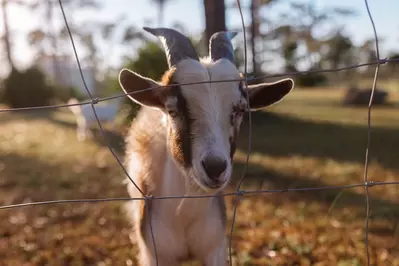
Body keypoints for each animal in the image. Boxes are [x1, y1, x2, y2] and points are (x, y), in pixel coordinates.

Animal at [118, 27, 294, 266]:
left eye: (240, 110)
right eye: (172, 110)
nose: (215, 168)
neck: (183, 215)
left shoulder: (215, 248)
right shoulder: (154, 253)